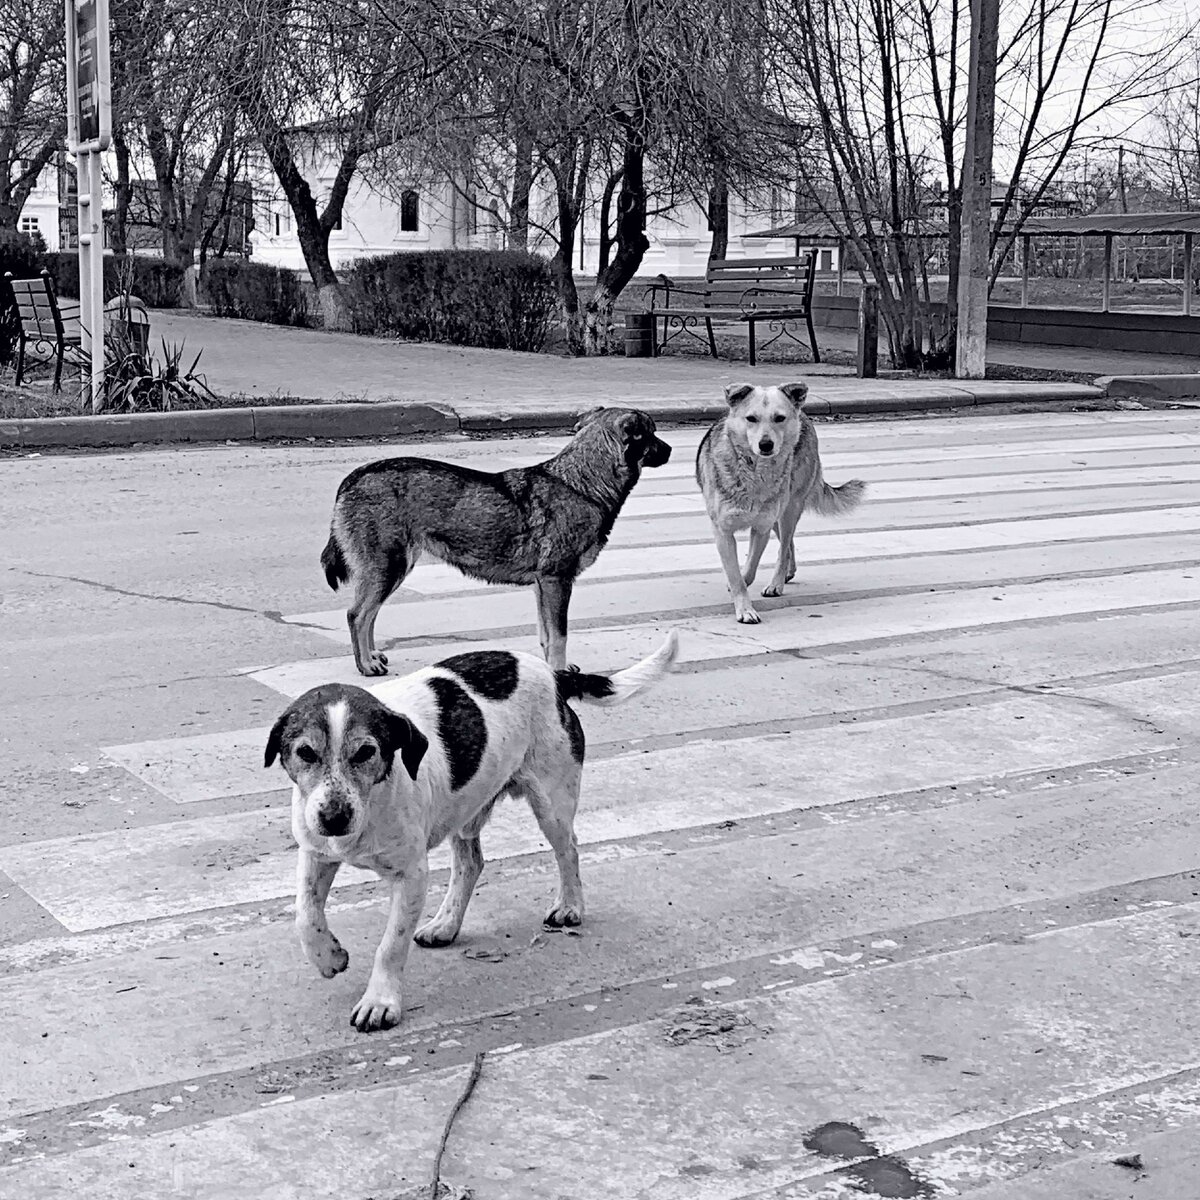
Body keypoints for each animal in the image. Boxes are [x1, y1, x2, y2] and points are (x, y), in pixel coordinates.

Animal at [265, 628, 676, 1032]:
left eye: (366, 752)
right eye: (305, 753)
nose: (334, 818)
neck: (371, 803)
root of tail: (555, 675)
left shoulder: (411, 875)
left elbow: (390, 945)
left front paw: (380, 1002)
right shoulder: (316, 855)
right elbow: (305, 915)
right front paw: (328, 957)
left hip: (552, 803)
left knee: (568, 850)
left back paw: (570, 906)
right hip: (465, 810)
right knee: (471, 864)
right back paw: (445, 924)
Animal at [324, 408, 672, 676]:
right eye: (652, 434)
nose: (670, 450)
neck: (581, 483)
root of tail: (352, 478)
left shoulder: (543, 586)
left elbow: (547, 635)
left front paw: (551, 668)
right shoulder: (556, 581)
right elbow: (559, 635)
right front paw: (559, 672)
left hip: (393, 569)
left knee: (369, 614)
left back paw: (372, 655)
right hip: (389, 568)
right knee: (357, 615)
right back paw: (366, 665)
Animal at [696, 381, 864, 628]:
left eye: (779, 418)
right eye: (751, 418)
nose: (766, 445)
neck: (755, 472)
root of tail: (803, 413)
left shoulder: (761, 528)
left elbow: (749, 570)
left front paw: (745, 592)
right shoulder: (723, 531)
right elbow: (735, 575)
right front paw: (744, 606)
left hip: (788, 510)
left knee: (785, 545)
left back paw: (777, 582)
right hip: (779, 516)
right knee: (789, 542)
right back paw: (787, 573)